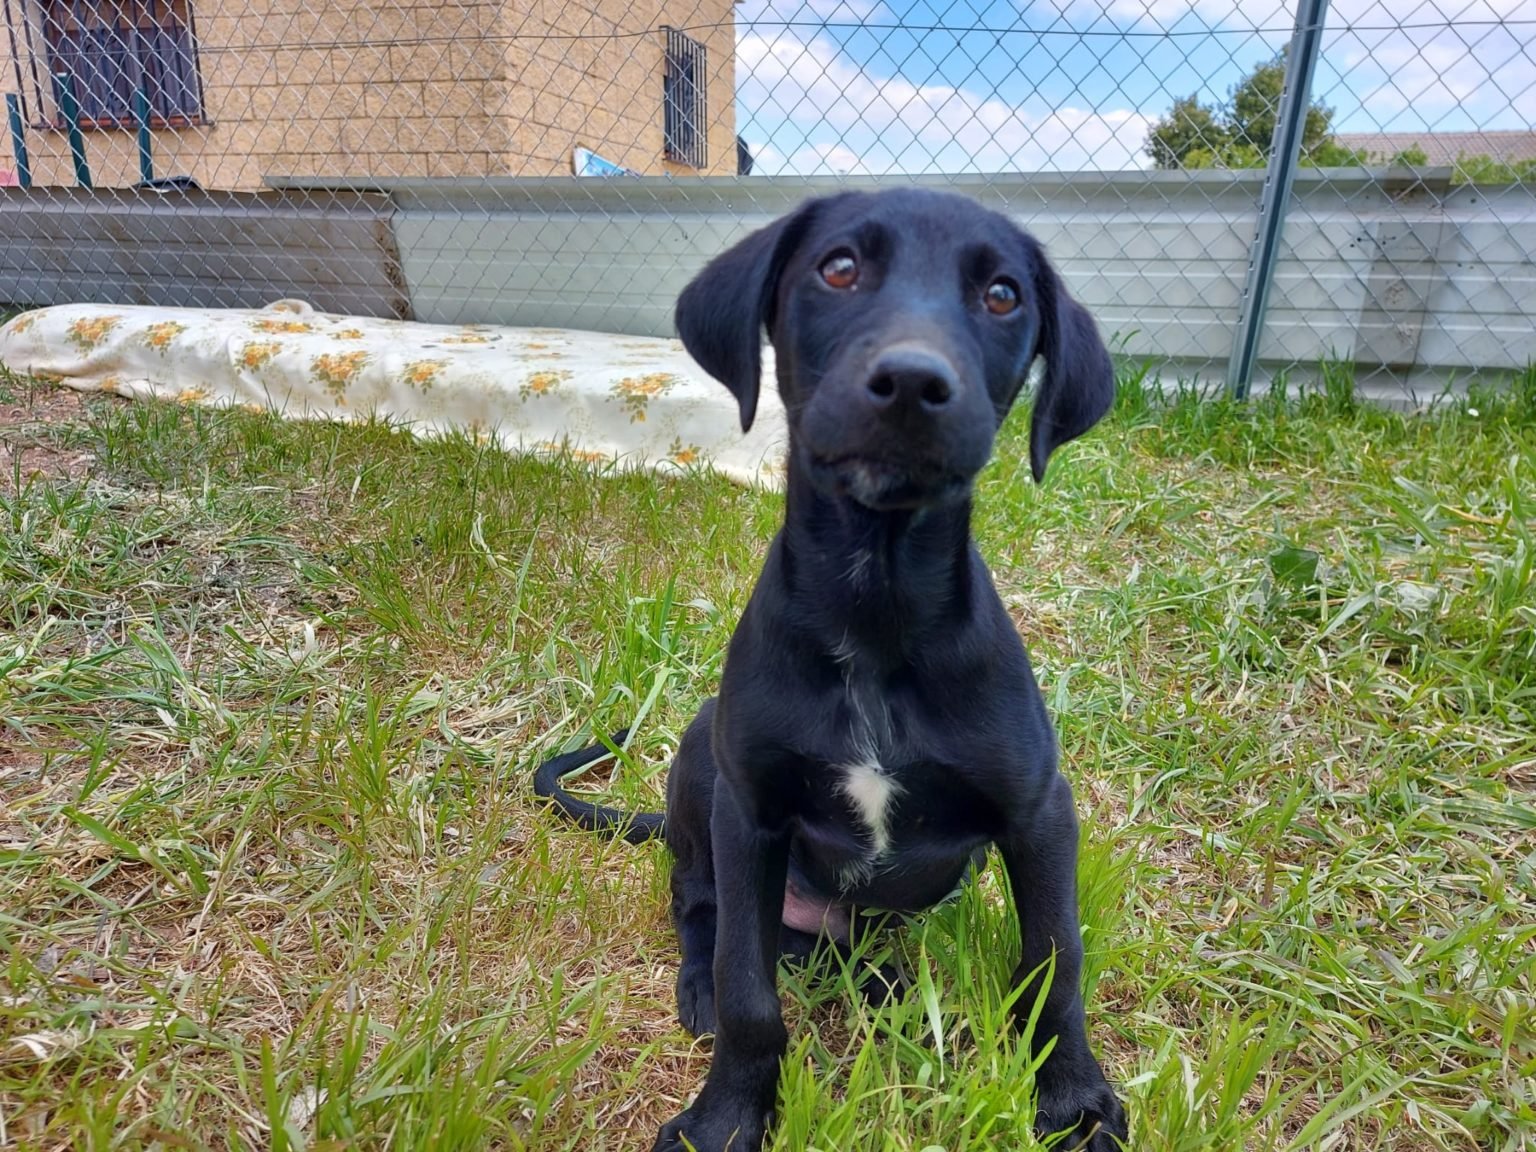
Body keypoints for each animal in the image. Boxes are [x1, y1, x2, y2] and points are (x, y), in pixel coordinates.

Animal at [535, 187, 1126, 1152]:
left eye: (1002, 294)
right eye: (839, 267)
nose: (914, 384)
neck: (875, 616)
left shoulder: (1041, 810)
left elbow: (1054, 961)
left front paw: (1073, 1102)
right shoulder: (750, 813)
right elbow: (746, 986)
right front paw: (726, 1116)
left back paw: (890, 989)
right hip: (702, 753)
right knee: (698, 905)